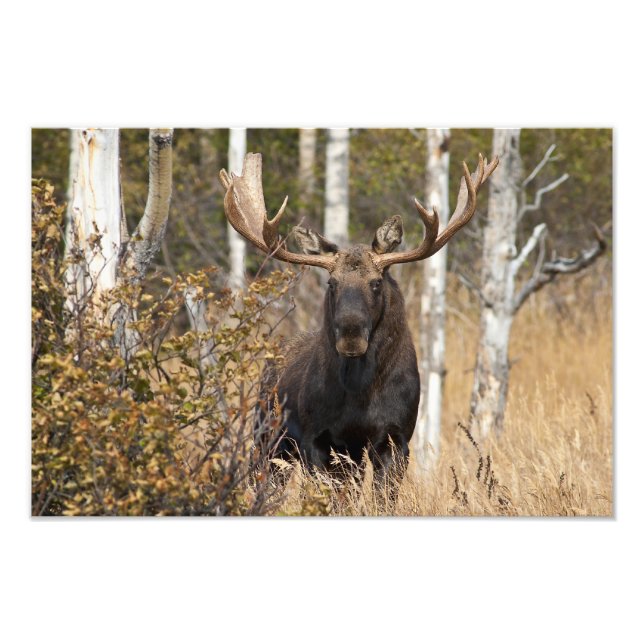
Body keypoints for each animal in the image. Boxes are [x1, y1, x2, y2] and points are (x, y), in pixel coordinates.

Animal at [219, 152, 498, 497]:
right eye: (332, 283)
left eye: (376, 283)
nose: (351, 336)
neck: (360, 395)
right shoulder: (320, 440)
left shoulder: (396, 438)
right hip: (267, 438)